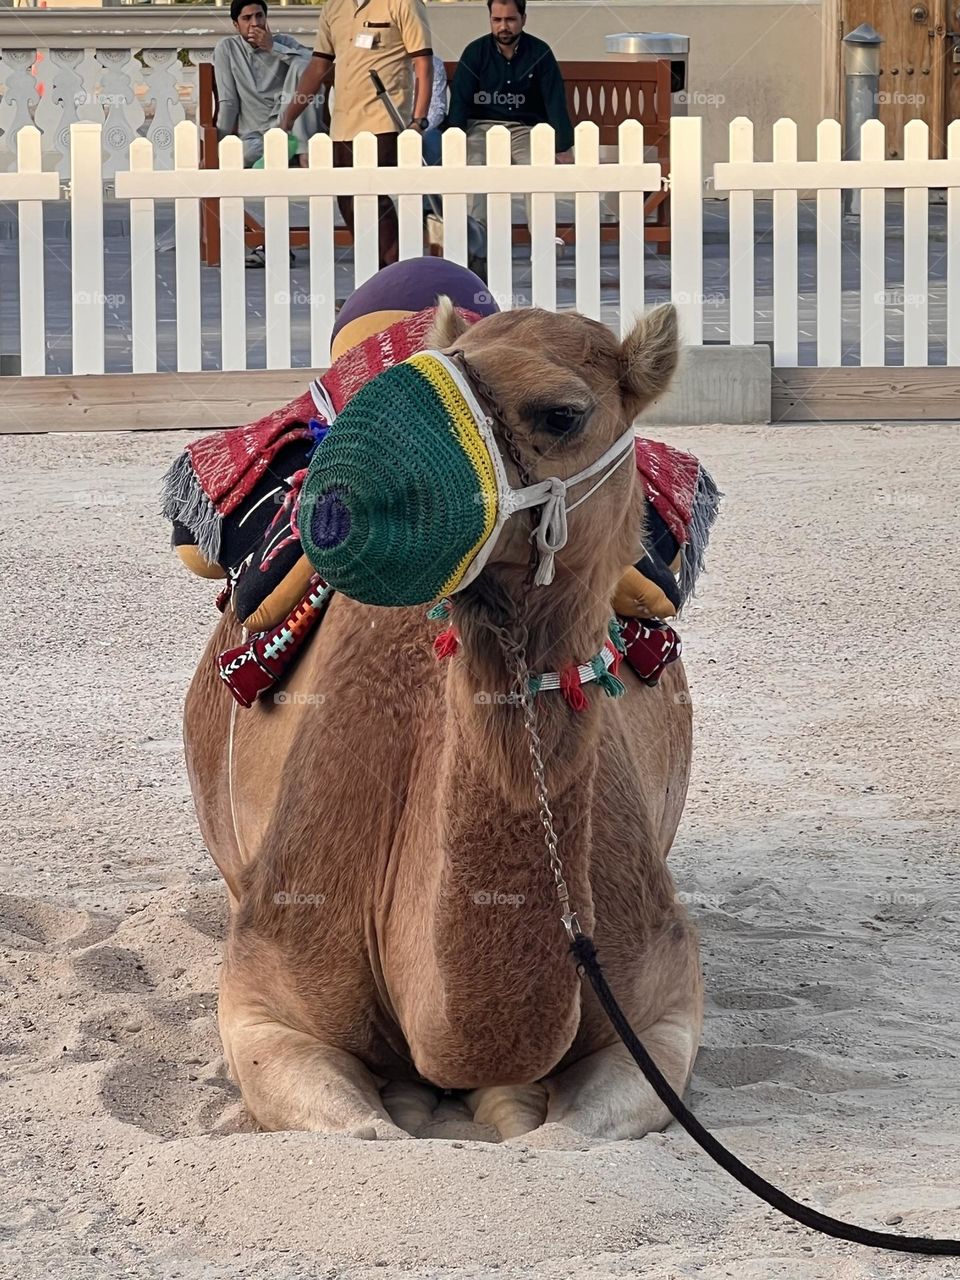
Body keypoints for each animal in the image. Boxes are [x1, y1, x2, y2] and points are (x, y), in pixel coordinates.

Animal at [183, 300, 703, 1142]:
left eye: (563, 413)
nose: (348, 496)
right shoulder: (264, 996)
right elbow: (368, 1131)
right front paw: (415, 1101)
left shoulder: (666, 1003)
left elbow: (564, 1133)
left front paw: (500, 1101)